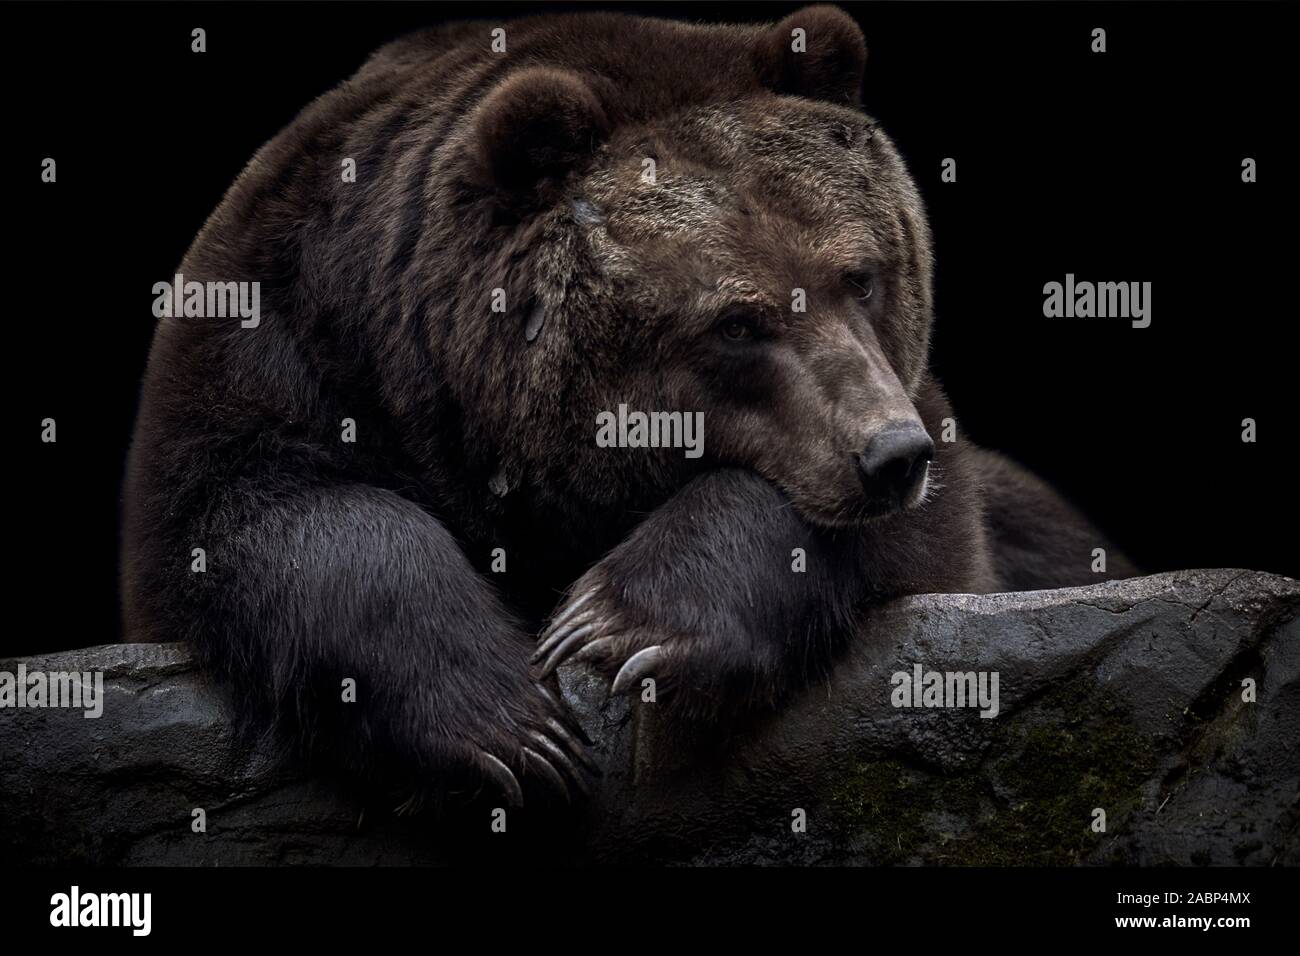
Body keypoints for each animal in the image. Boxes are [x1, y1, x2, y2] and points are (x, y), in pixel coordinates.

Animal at [124, 5, 1138, 806]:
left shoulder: (920, 431)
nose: (890, 455)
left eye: (860, 275)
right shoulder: (284, 337)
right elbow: (261, 513)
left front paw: (621, 627)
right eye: (737, 321)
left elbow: (898, 534)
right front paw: (513, 730)